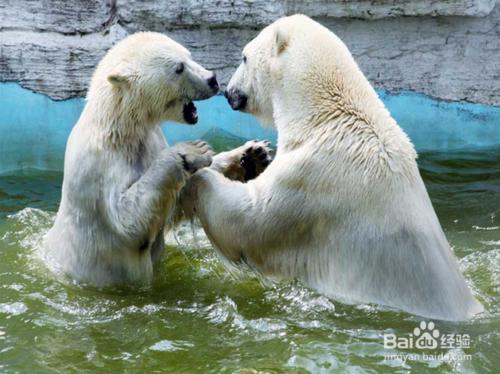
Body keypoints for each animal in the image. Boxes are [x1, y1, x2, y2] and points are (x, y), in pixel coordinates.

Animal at [44, 33, 270, 288]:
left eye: (189, 55)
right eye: (179, 68)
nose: (212, 79)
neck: (120, 128)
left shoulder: (151, 141)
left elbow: (175, 201)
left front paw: (251, 155)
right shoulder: (102, 167)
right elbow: (127, 220)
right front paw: (192, 150)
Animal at [185, 13, 484, 320]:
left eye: (244, 57)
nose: (229, 92)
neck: (324, 115)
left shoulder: (310, 179)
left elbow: (249, 222)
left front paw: (198, 174)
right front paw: (252, 155)